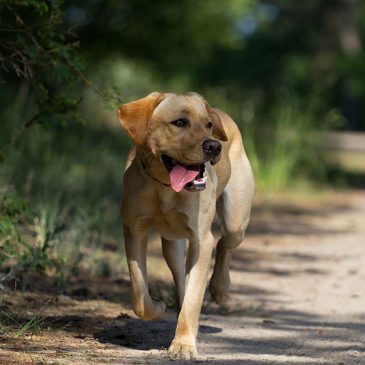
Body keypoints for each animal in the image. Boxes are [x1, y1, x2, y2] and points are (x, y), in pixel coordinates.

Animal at [116, 91, 253, 358]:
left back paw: (219, 287)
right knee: (181, 281)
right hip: (172, 245)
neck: (165, 188)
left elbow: (194, 298)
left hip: (236, 221)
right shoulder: (134, 232)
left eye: (208, 125)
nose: (214, 146)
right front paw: (157, 308)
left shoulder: (201, 241)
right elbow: (139, 296)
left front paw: (183, 345)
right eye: (180, 122)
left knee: (224, 243)